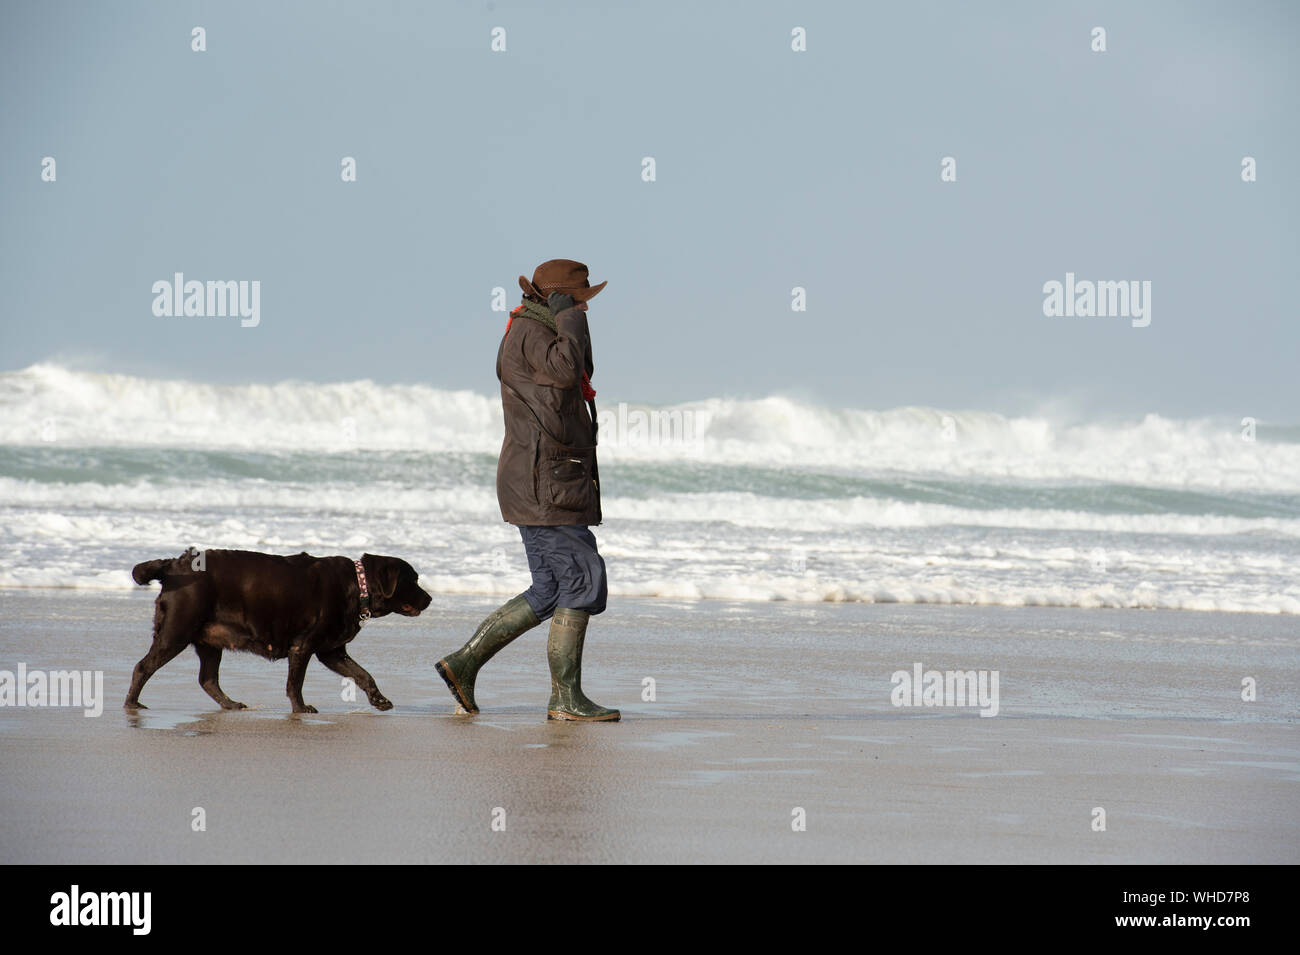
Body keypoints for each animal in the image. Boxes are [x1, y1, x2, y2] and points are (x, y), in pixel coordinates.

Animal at [122, 548, 428, 712]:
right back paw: (132, 704)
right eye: (412, 580)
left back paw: (230, 704)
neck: (358, 585)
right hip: (176, 631)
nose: (430, 598)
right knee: (143, 667)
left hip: (209, 641)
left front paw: (380, 700)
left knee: (207, 679)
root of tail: (174, 565)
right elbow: (295, 683)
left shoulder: (332, 651)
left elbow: (364, 675)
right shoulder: (303, 647)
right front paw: (300, 709)